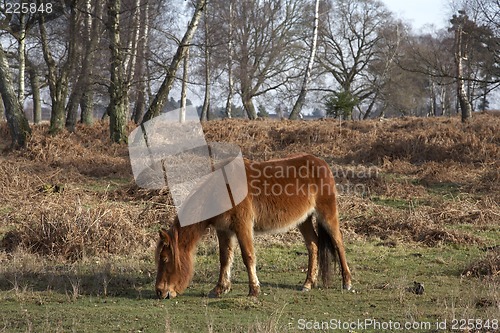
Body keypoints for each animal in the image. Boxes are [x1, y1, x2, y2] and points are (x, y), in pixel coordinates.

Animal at [155, 153, 352, 298]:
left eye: (164, 259)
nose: (160, 291)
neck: (221, 190)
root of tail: (321, 163)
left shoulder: (243, 227)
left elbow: (248, 256)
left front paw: (254, 290)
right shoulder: (224, 230)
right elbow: (225, 258)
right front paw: (220, 288)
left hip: (327, 214)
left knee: (338, 243)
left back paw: (347, 282)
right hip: (303, 220)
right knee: (313, 245)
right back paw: (308, 283)